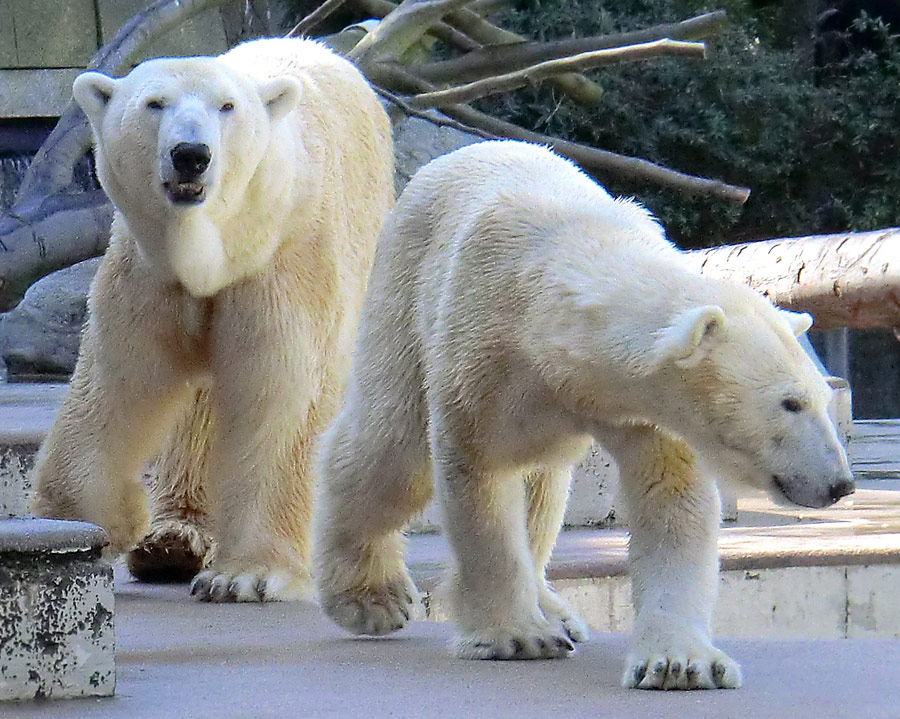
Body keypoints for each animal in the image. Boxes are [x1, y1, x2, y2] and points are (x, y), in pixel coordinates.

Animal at [33, 38, 392, 600]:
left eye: (227, 107)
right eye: (154, 103)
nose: (191, 155)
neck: (216, 248)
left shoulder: (286, 267)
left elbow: (281, 394)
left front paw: (250, 575)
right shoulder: (149, 273)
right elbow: (119, 379)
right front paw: (80, 521)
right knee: (195, 411)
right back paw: (170, 541)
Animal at [314, 142, 852, 692]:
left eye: (819, 396)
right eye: (790, 402)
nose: (840, 484)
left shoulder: (641, 412)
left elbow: (672, 499)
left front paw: (680, 662)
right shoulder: (482, 352)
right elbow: (478, 474)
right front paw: (518, 637)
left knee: (541, 484)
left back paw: (557, 610)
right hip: (402, 287)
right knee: (391, 453)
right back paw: (372, 600)